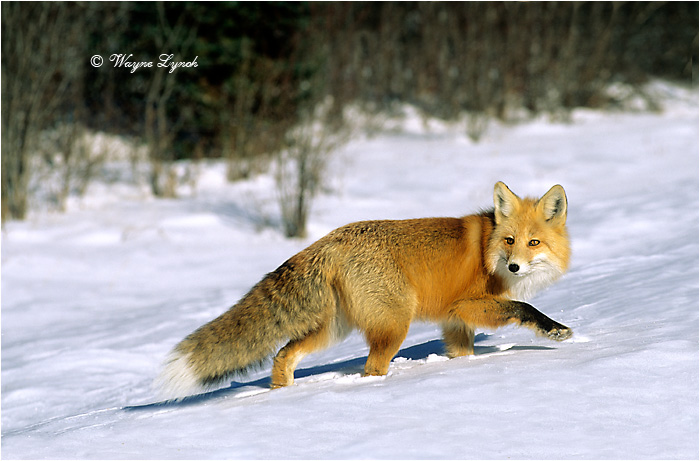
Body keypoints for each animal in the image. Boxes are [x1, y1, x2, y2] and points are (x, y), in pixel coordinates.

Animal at [157, 182, 572, 399]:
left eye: (534, 243)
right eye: (510, 241)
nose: (515, 266)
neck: (488, 251)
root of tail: (328, 240)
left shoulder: (455, 323)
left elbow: (462, 354)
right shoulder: (466, 305)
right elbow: (521, 308)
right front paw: (554, 329)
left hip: (331, 329)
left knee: (283, 354)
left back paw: (283, 395)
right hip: (393, 325)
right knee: (371, 370)